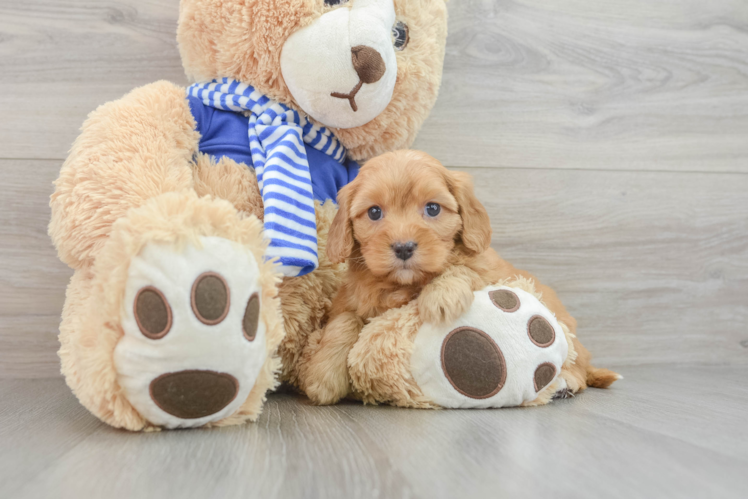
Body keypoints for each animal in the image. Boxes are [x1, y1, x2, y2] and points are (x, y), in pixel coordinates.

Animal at [296, 150, 500, 404]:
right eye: (374, 212)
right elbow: (345, 321)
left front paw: (441, 296)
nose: (404, 247)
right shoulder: (345, 302)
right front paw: (323, 376)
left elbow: (463, 268)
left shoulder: (489, 272)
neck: (400, 285)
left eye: (433, 209)